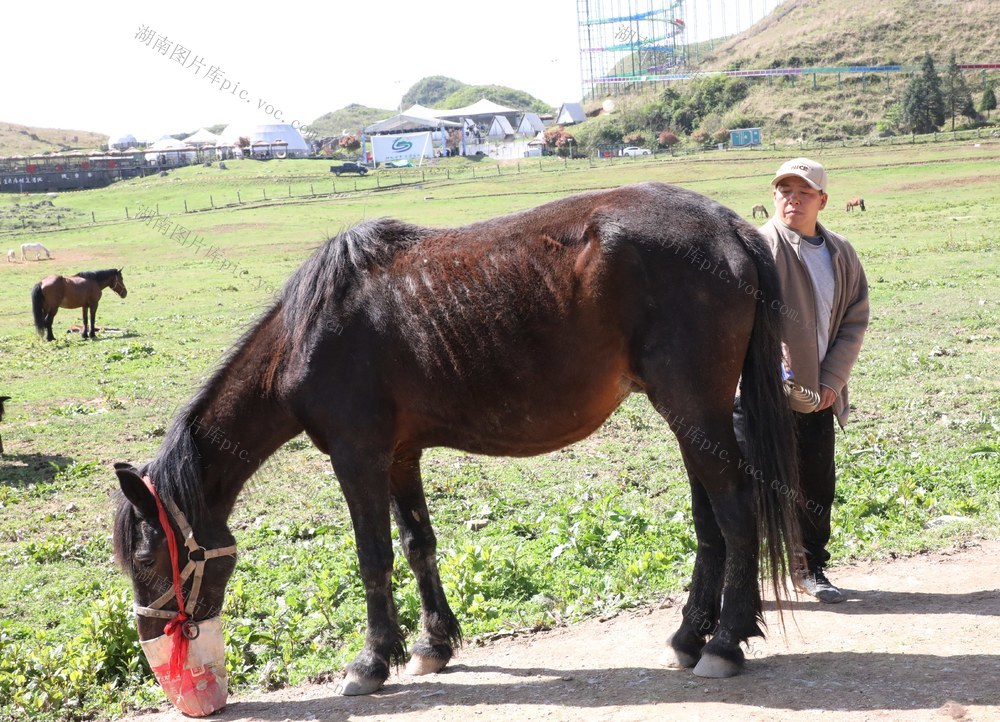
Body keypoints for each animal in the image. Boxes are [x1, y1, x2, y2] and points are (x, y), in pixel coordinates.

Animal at [112, 182, 801, 713]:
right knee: (710, 521)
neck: (309, 333)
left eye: (147, 559)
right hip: (691, 418)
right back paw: (689, 636)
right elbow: (418, 544)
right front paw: (433, 646)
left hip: (694, 409)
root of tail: (727, 226)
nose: (153, 646)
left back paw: (724, 643)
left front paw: (372, 661)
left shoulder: (358, 457)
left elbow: (373, 557)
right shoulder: (399, 456)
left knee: (735, 512)